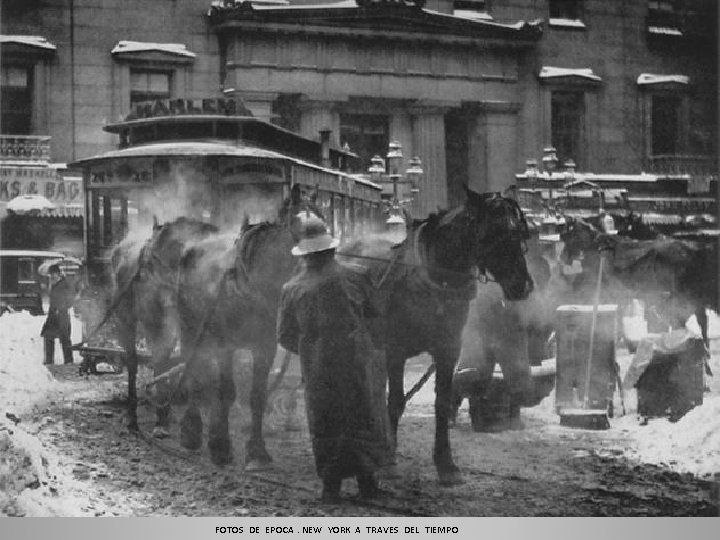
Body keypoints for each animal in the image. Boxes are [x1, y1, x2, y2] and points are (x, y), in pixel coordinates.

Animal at [110, 217, 219, 432]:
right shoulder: (159, 320)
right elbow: (161, 357)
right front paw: (161, 422)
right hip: (124, 316)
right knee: (133, 359)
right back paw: (132, 415)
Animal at [174, 186, 320, 468]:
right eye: (301, 227)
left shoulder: (264, 347)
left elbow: (257, 396)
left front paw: (257, 451)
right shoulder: (225, 345)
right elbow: (226, 392)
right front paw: (220, 447)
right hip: (190, 328)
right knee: (195, 371)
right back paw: (192, 429)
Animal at [338, 188, 536, 484]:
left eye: (520, 233)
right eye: (494, 232)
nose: (522, 286)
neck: (435, 280)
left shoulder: (448, 350)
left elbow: (442, 402)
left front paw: (446, 464)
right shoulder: (396, 350)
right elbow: (395, 402)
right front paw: (389, 459)